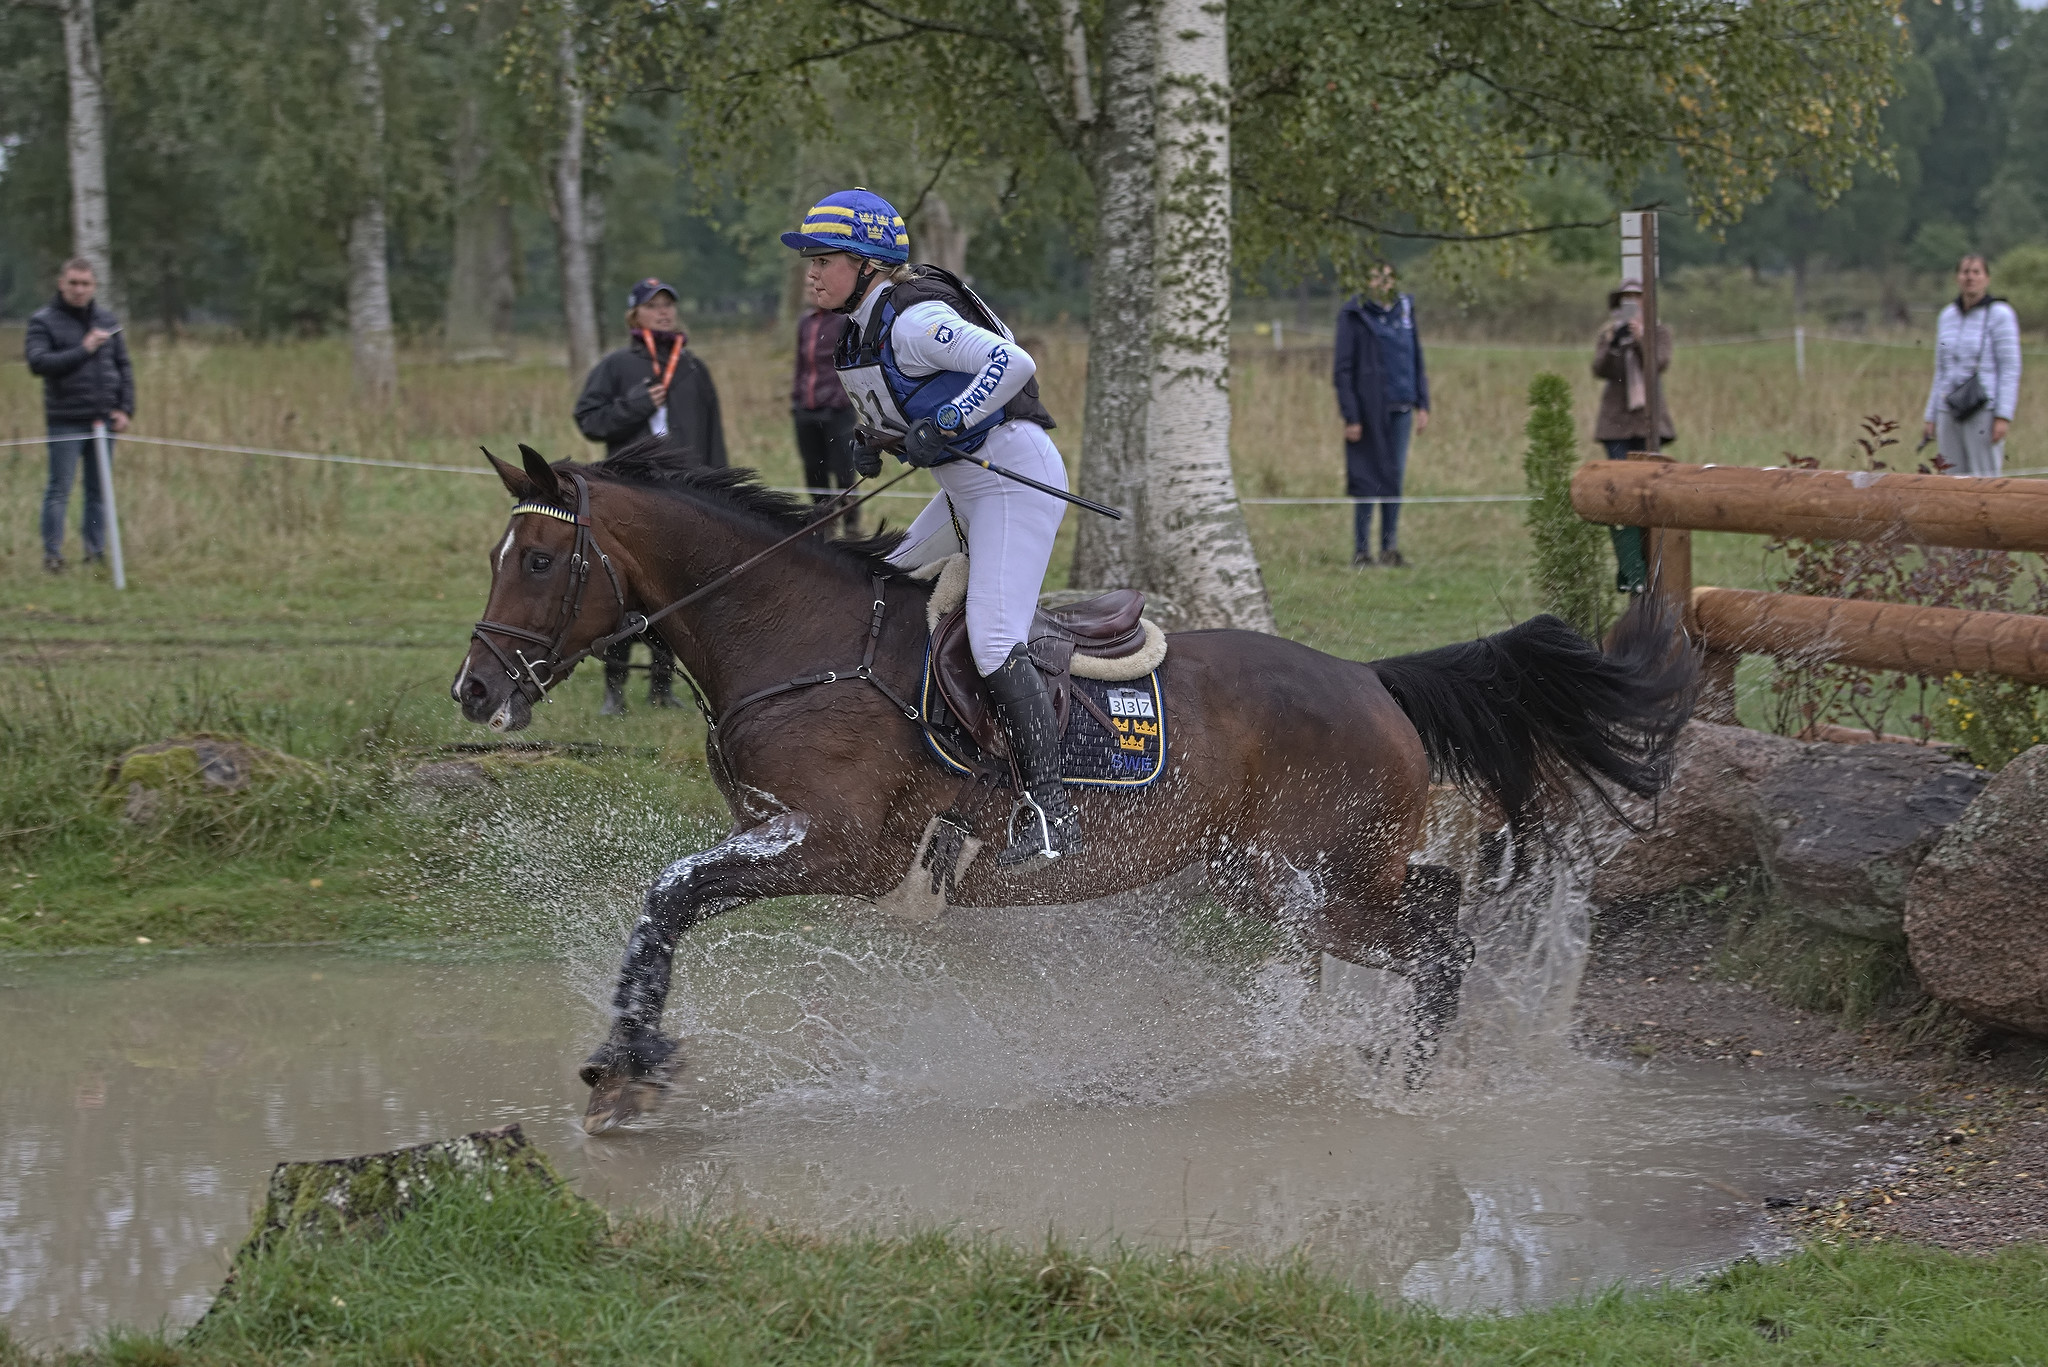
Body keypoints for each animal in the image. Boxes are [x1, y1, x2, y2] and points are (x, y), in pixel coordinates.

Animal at [452, 446, 1695, 1131]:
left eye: (543, 560)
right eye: (501, 556)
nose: (474, 687)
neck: (795, 637)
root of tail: (1370, 677)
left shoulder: (834, 845)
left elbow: (669, 894)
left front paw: (627, 1066)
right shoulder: (780, 836)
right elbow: (671, 898)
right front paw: (627, 1057)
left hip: (1318, 875)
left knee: (1438, 930)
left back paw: (1396, 1078)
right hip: (1265, 879)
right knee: (1432, 914)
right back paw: (1396, 1060)